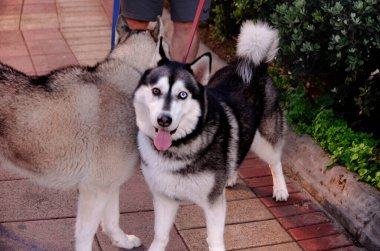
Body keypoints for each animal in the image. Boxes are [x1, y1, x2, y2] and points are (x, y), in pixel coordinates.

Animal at [134, 21, 288, 251]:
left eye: (182, 95)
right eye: (155, 91)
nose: (164, 120)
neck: (179, 146)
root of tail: (255, 65)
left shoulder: (213, 203)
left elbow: (214, 239)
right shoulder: (164, 198)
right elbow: (160, 236)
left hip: (265, 139)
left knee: (275, 160)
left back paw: (280, 189)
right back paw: (231, 176)